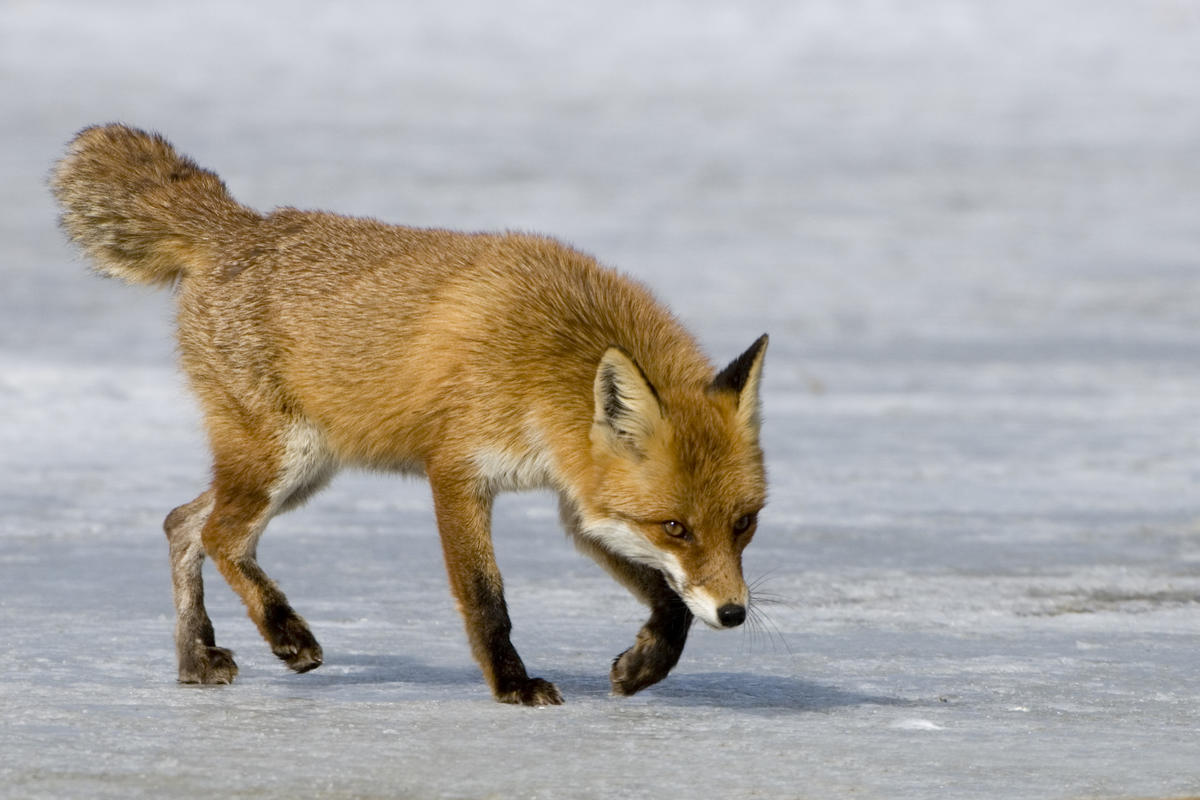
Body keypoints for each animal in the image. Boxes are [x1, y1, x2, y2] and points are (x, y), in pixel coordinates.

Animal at [49, 122, 768, 705]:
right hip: (282, 458)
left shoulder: (581, 500)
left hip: (301, 470)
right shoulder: (456, 471)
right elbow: (485, 598)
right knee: (222, 536)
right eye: (675, 526)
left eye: (744, 524)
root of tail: (237, 222)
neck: (544, 361)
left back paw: (195, 658)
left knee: (182, 524)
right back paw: (284, 632)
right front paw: (512, 686)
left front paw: (644, 667)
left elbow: (671, 603)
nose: (735, 614)